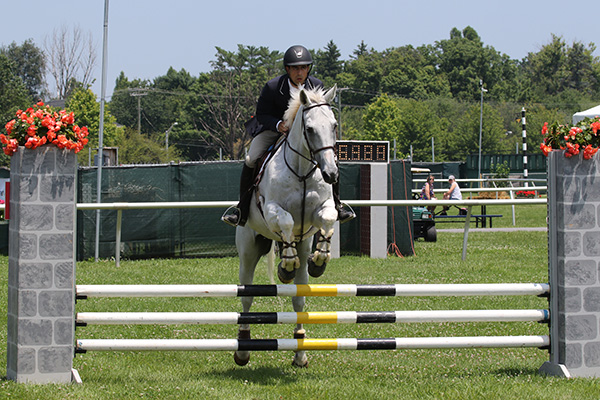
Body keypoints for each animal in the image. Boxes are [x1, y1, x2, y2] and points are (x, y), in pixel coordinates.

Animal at [233, 86, 340, 368]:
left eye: (334, 125)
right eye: (310, 129)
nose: (331, 174)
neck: (302, 171)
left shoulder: (323, 209)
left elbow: (328, 219)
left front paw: (320, 259)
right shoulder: (272, 209)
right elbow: (286, 221)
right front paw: (287, 264)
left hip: (302, 246)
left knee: (299, 299)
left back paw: (300, 353)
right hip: (248, 250)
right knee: (246, 297)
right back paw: (242, 350)